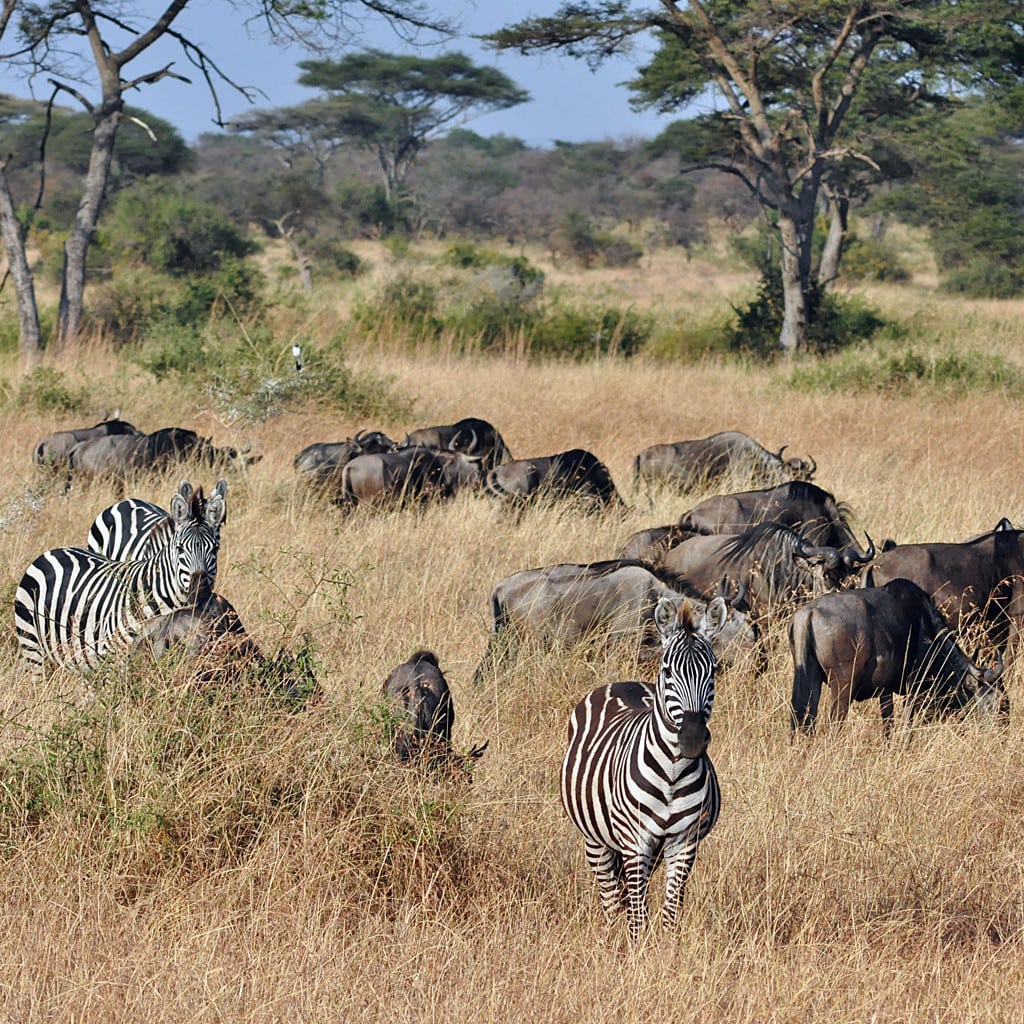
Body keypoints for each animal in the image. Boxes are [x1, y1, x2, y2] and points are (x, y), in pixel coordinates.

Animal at [14, 479, 228, 674]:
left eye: (215, 549)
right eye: (180, 548)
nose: (200, 589)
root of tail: (52, 551)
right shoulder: (113, 658)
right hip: (32, 647)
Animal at [560, 595, 723, 942]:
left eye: (713, 670)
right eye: (668, 671)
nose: (692, 739)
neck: (672, 773)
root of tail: (625, 682)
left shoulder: (683, 843)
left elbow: (670, 914)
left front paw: (667, 952)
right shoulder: (635, 842)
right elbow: (637, 917)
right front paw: (636, 951)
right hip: (596, 840)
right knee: (611, 902)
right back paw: (611, 941)